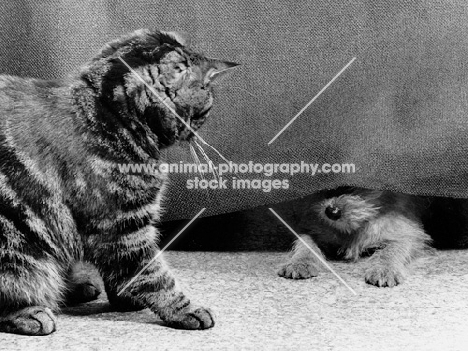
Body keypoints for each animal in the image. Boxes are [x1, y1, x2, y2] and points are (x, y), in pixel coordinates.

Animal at [0, 29, 236, 336]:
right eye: (205, 110)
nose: (197, 132)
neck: (110, 113)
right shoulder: (122, 228)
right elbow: (155, 277)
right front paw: (184, 309)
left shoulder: (121, 229)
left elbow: (122, 274)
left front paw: (125, 298)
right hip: (17, 245)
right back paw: (29, 313)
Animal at [276, 188, 434, 288]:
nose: (331, 211)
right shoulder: (313, 231)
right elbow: (305, 243)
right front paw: (299, 263)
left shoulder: (408, 235)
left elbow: (391, 250)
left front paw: (384, 269)